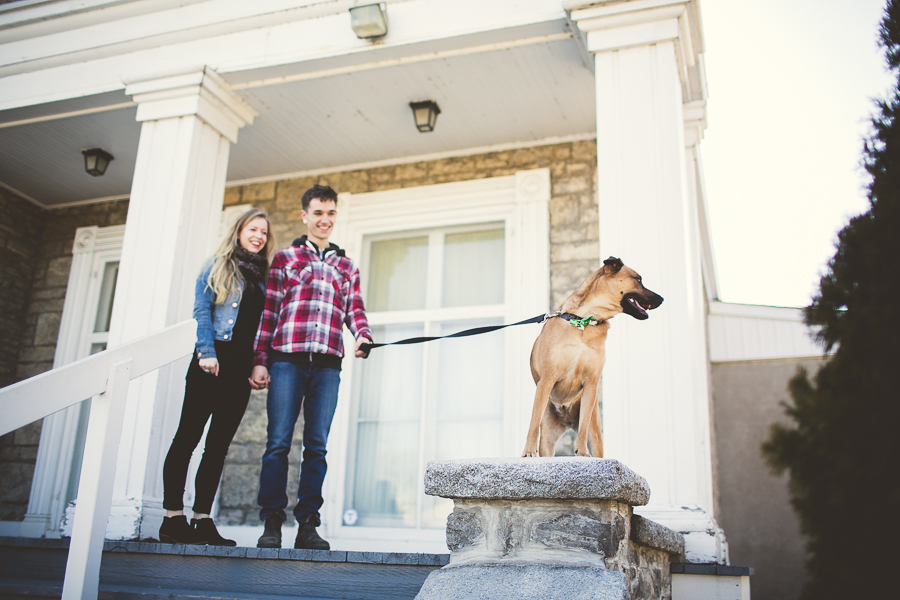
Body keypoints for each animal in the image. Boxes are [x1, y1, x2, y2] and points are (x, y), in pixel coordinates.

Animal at [520, 255, 660, 458]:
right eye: (638, 279)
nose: (662, 299)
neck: (584, 322)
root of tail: (566, 415)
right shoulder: (546, 380)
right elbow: (533, 422)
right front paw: (529, 451)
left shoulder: (591, 384)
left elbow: (583, 425)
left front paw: (582, 453)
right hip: (547, 440)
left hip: (595, 435)